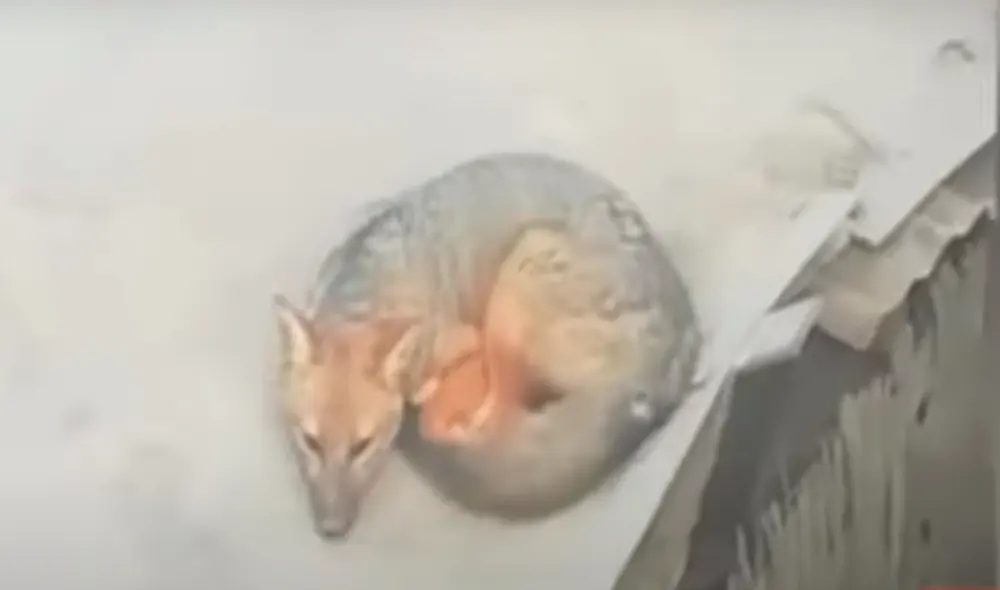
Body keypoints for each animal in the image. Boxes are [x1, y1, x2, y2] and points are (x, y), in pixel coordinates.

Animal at [272, 153, 702, 538]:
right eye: (310, 442)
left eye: (362, 447)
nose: (332, 531)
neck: (374, 282)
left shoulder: (465, 338)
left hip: (516, 284)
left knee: (497, 415)